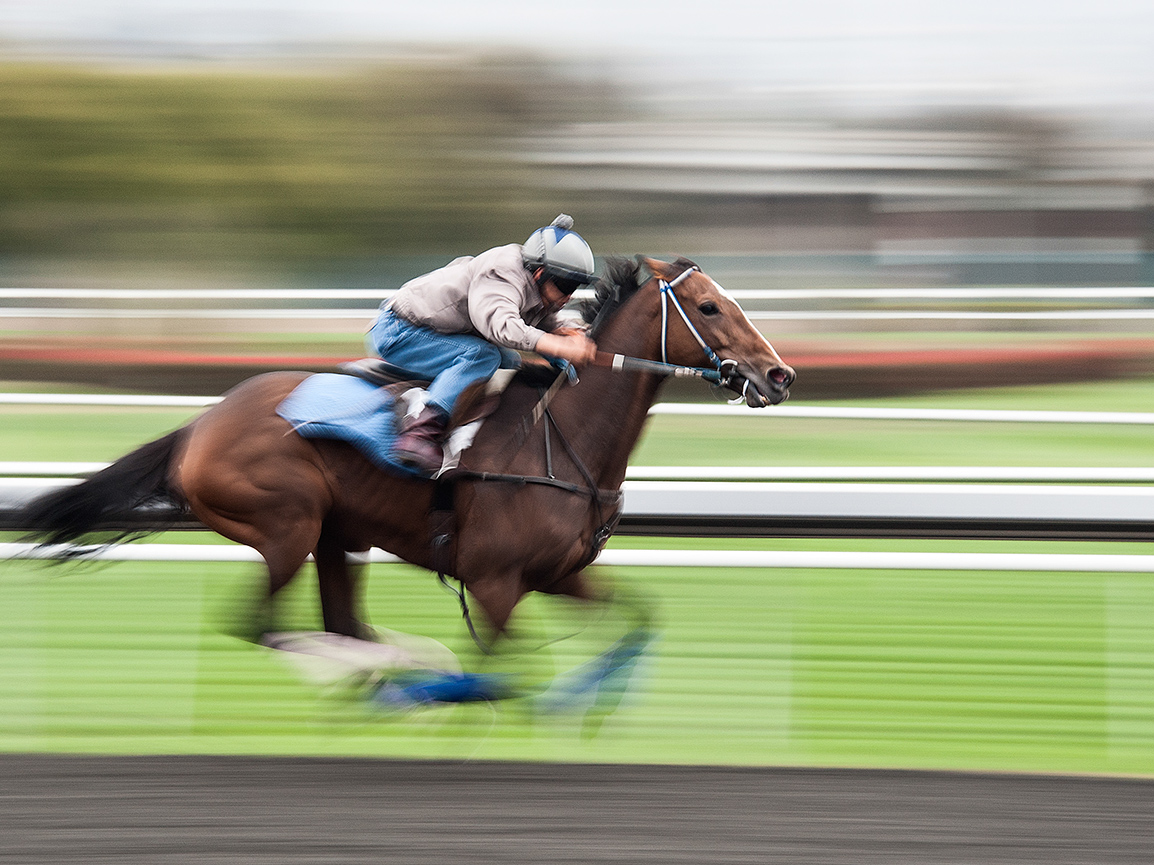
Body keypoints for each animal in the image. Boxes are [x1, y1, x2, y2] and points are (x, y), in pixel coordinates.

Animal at [20, 256, 793, 655]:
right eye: (709, 306)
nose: (779, 374)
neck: (558, 438)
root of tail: (198, 426)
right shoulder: (495, 583)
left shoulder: (561, 576)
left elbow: (634, 618)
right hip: (287, 523)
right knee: (265, 625)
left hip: (338, 535)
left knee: (337, 622)